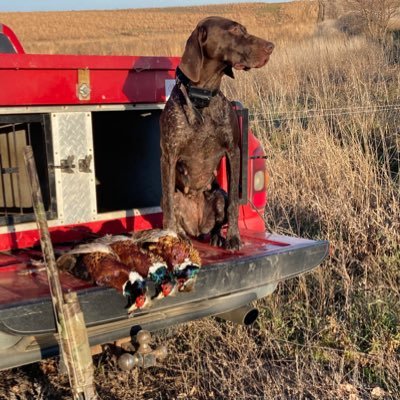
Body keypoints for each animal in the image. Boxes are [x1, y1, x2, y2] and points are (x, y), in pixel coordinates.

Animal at [158, 17, 274, 248]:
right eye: (236, 29)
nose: (271, 46)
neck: (202, 98)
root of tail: (197, 229)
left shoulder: (233, 151)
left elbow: (234, 205)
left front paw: (233, 237)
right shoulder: (168, 156)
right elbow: (168, 206)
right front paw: (171, 238)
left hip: (219, 195)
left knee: (218, 219)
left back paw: (216, 236)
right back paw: (183, 236)